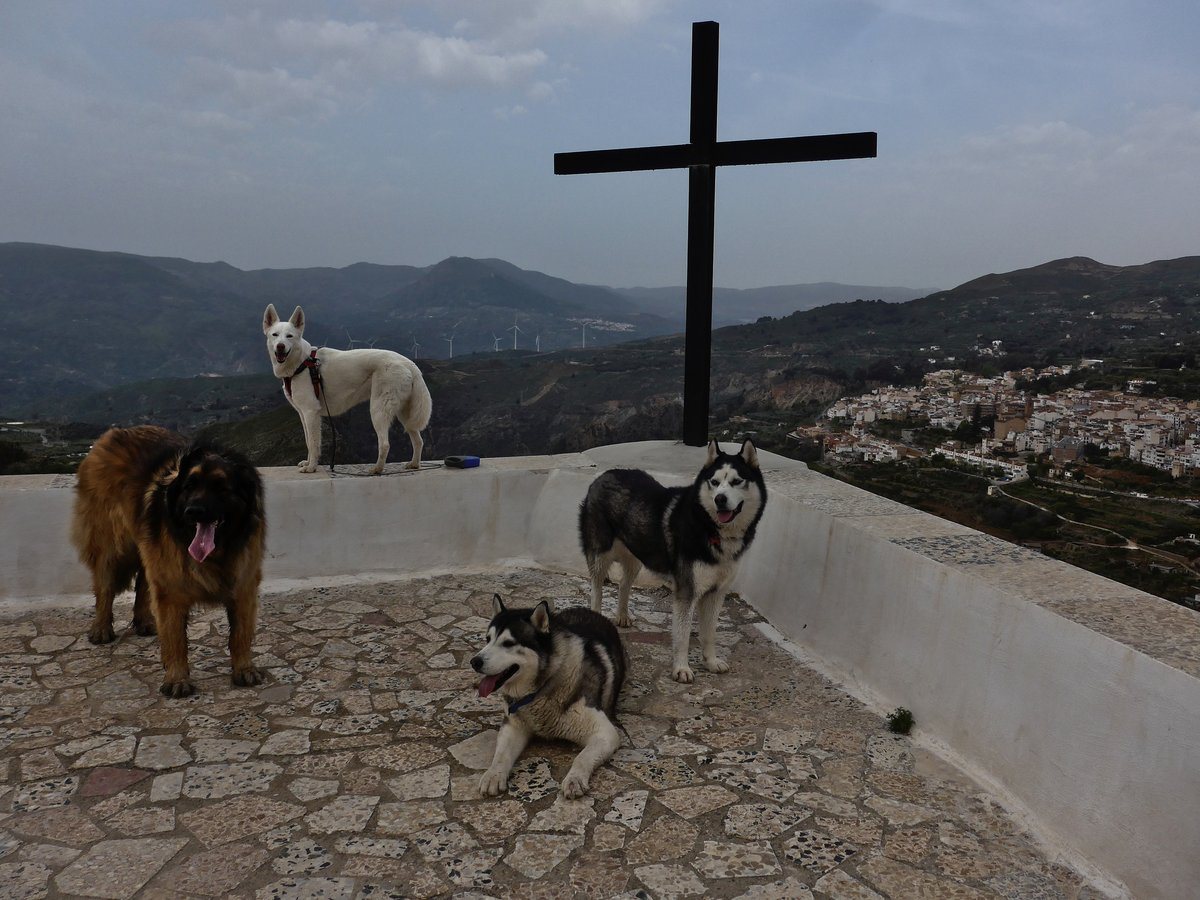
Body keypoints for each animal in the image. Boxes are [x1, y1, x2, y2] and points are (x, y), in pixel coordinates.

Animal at [72, 427, 267, 700]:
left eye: (220, 487)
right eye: (189, 486)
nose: (193, 511)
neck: (218, 551)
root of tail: (111, 434)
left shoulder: (243, 584)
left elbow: (240, 633)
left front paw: (244, 669)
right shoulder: (172, 588)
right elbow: (175, 639)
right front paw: (176, 679)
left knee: (143, 583)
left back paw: (144, 620)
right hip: (112, 547)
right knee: (105, 587)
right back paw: (101, 628)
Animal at [262, 304, 432, 475]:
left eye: (289, 336)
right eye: (275, 335)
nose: (280, 346)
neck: (301, 362)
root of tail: (408, 362)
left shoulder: (311, 412)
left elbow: (313, 443)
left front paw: (311, 467)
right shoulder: (303, 414)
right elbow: (308, 441)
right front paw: (308, 462)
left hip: (378, 409)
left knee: (385, 444)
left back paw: (377, 469)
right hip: (404, 413)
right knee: (419, 440)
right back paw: (414, 464)